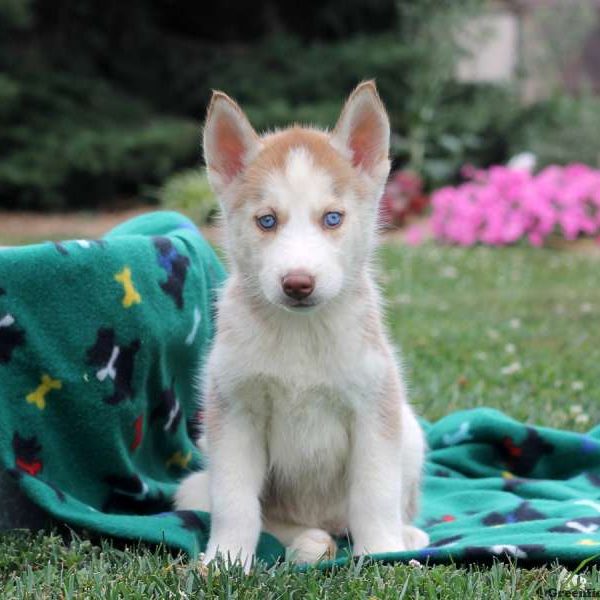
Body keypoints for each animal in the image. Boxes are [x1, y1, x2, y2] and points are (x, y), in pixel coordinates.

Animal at [176, 81, 428, 568]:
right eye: (267, 220)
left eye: (332, 218)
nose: (297, 283)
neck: (301, 335)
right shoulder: (234, 414)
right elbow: (236, 502)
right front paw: (225, 560)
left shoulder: (374, 407)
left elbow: (374, 493)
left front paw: (382, 552)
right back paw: (306, 541)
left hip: (409, 432)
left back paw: (404, 535)